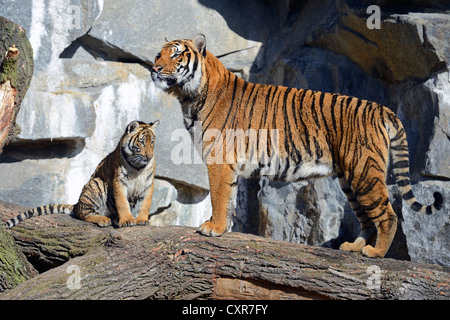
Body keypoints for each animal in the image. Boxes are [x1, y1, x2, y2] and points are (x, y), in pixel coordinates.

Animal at [151, 33, 442, 258]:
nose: (154, 69)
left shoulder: (219, 160)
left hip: (364, 172)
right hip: (350, 179)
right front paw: (224, 228)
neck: (189, 96)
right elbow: (228, 197)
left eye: (176, 55)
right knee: (366, 218)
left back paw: (375, 253)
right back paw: (352, 247)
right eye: (157, 55)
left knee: (387, 215)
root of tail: (382, 109)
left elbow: (219, 196)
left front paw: (213, 227)